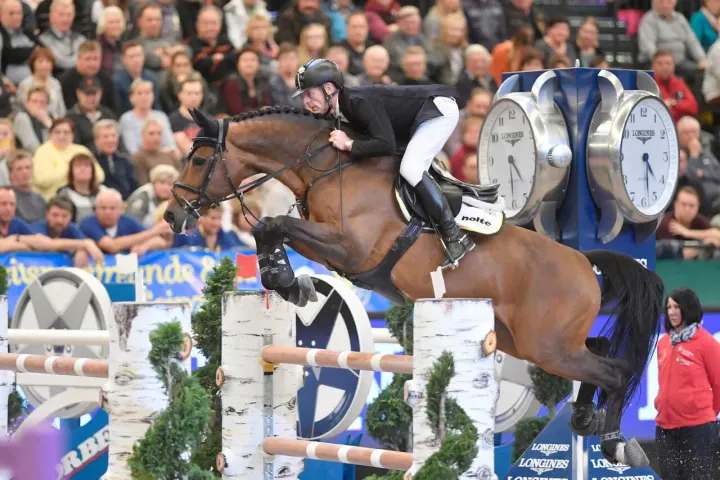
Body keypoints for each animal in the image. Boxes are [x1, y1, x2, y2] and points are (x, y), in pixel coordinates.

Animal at [164, 107, 665, 469]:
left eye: (200, 159)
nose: (172, 217)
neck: (327, 167)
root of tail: (583, 260)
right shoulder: (330, 247)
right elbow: (269, 227)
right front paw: (290, 283)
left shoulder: (350, 247)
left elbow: (272, 223)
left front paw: (289, 282)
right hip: (525, 340)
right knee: (599, 349)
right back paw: (583, 417)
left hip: (546, 344)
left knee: (614, 369)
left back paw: (617, 443)